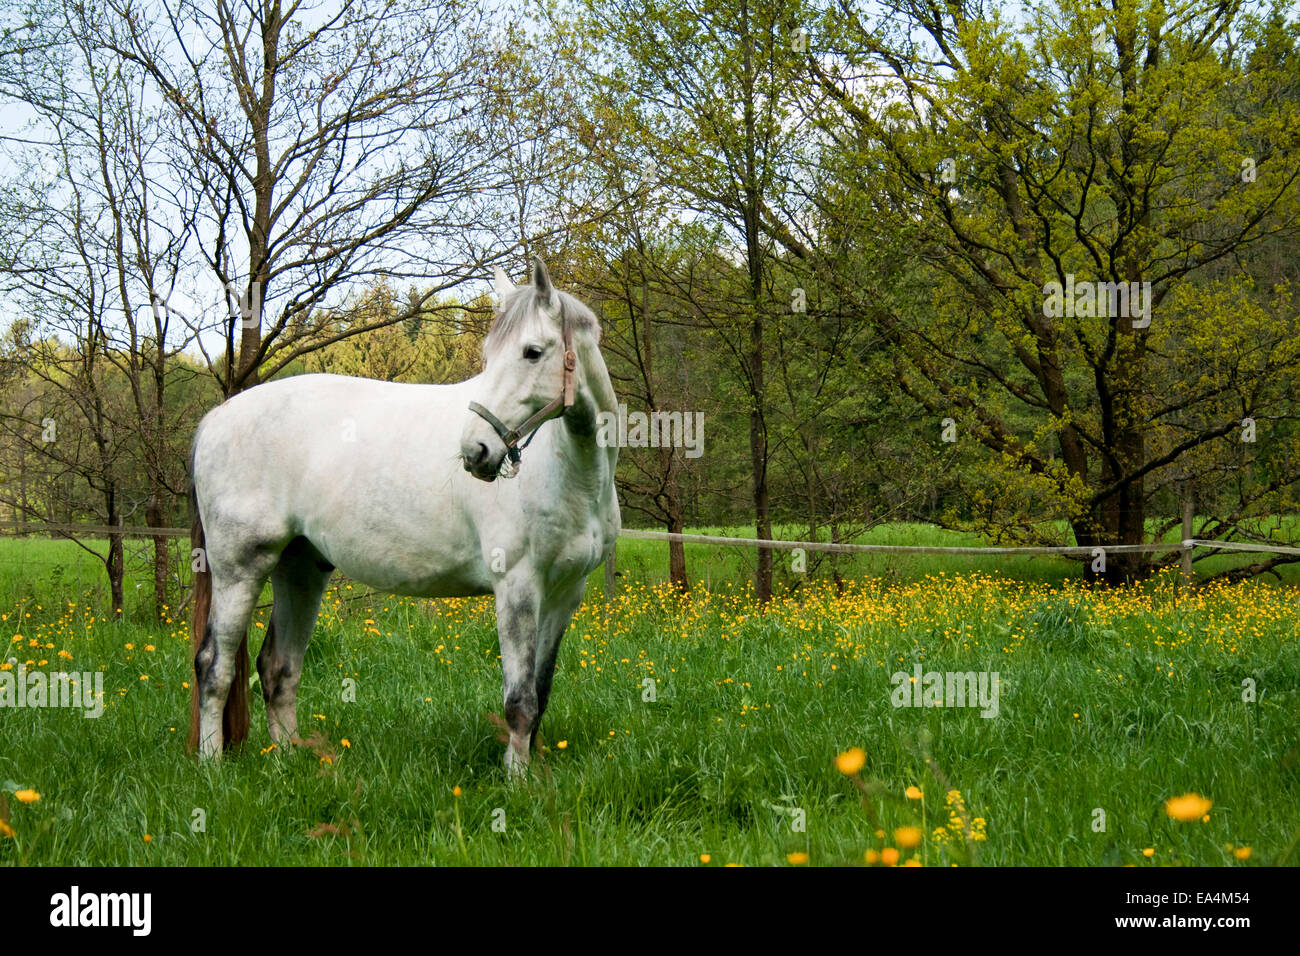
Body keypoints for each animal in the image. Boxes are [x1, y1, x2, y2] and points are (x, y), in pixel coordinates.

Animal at [187, 259, 620, 775]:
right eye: (490, 355)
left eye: (532, 352)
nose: (476, 451)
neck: (569, 472)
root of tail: (216, 418)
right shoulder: (517, 587)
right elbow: (520, 702)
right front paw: (516, 782)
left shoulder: (564, 595)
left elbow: (541, 693)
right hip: (239, 568)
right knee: (214, 666)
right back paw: (211, 767)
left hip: (301, 567)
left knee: (278, 669)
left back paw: (289, 763)